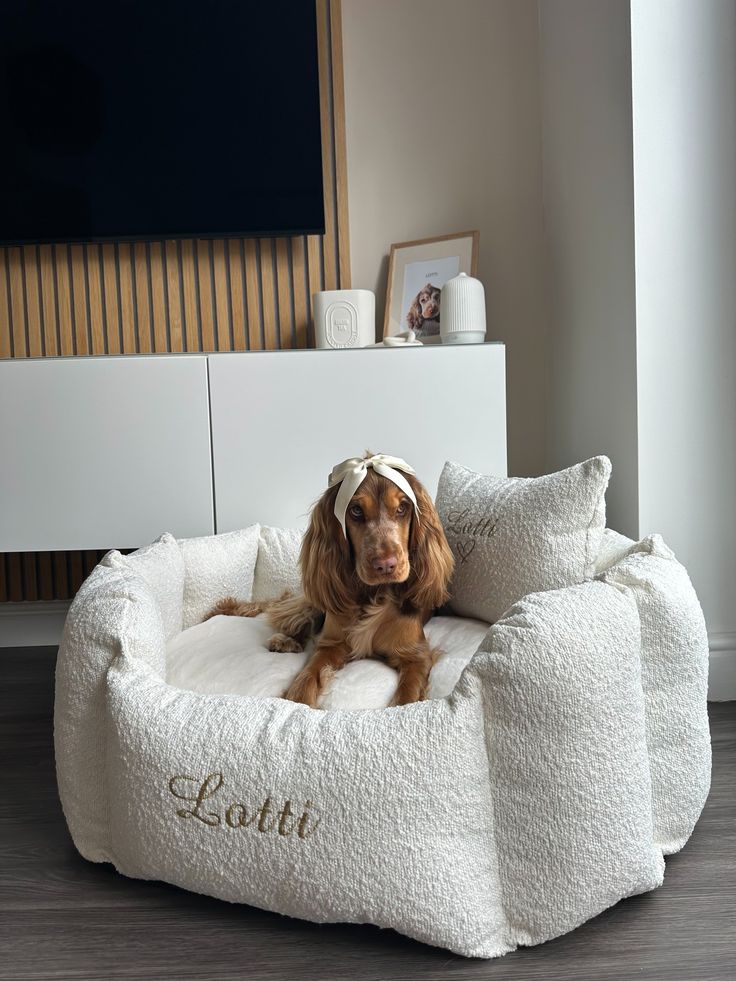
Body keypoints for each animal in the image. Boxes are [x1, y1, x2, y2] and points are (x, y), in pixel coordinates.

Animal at [206, 456, 454, 708]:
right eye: (356, 510)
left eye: (403, 508)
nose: (385, 565)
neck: (373, 595)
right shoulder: (330, 644)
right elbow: (307, 677)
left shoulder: (415, 655)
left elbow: (407, 697)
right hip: (317, 599)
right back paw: (287, 639)